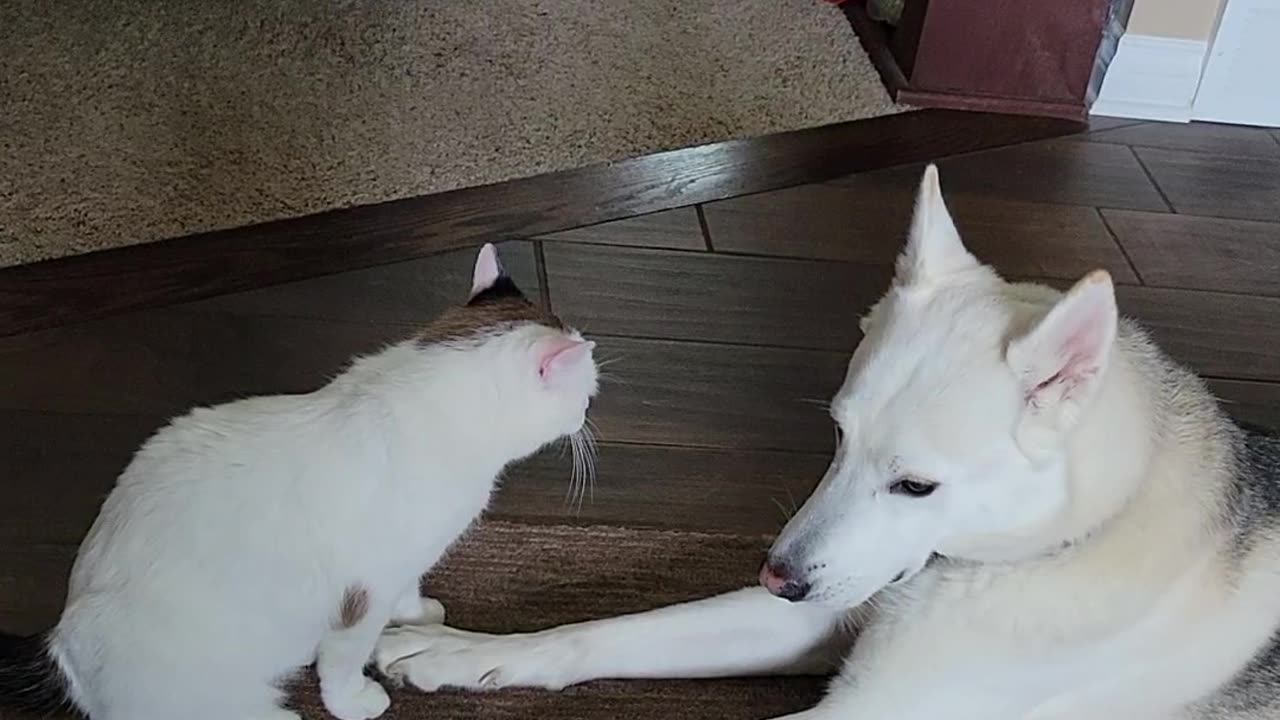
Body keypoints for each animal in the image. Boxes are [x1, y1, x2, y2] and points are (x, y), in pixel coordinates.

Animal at [0, 242, 599, 717]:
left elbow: (409, 591)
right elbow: (344, 663)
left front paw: (419, 616)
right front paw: (357, 702)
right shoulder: (361, 597)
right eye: (588, 391)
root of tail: (62, 646)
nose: (587, 416)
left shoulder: (402, 564)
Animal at [371, 165, 1280, 712]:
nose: (776, 577)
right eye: (837, 436)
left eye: (916, 486)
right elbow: (609, 631)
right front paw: (464, 652)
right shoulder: (819, 609)